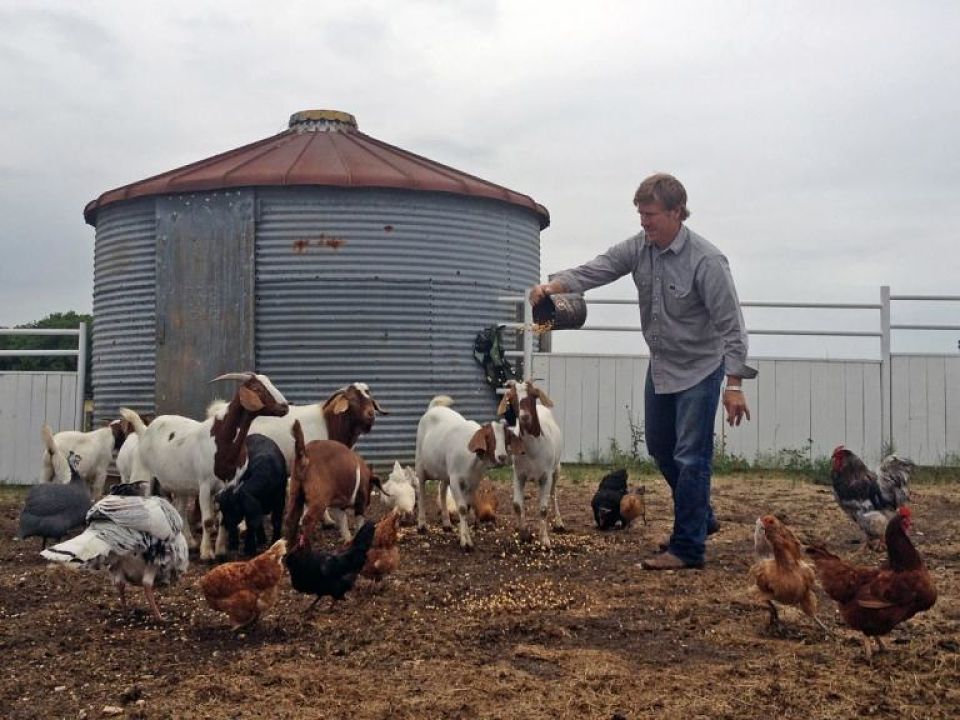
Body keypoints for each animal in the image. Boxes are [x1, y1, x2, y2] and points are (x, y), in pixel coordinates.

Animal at [120, 374, 286, 560]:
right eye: (257, 388)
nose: (285, 407)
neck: (222, 438)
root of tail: (144, 431)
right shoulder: (205, 484)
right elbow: (207, 521)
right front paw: (206, 553)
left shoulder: (230, 485)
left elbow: (222, 519)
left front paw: (220, 549)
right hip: (143, 475)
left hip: (179, 483)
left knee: (179, 509)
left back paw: (190, 542)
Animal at [498, 380, 568, 548]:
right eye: (512, 398)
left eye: (533, 395)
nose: (524, 417)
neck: (533, 449)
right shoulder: (518, 475)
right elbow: (517, 505)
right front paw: (524, 534)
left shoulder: (546, 476)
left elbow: (543, 508)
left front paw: (545, 540)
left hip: (557, 469)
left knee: (553, 494)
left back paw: (559, 523)